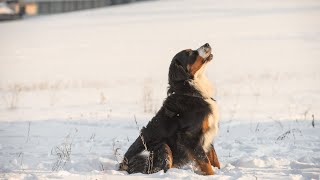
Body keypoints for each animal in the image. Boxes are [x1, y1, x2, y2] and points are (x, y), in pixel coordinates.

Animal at [119, 43, 221, 175]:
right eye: (189, 53)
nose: (207, 44)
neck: (190, 91)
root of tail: (123, 164)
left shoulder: (207, 132)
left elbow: (214, 159)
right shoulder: (190, 136)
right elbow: (205, 162)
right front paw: (212, 175)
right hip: (162, 147)